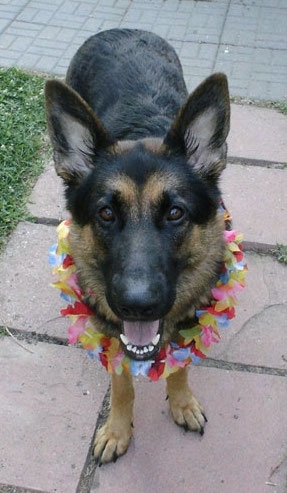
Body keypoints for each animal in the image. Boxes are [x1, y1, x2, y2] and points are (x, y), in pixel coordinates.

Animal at [45, 28, 231, 464]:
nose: (137, 305)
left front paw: (181, 402)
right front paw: (117, 429)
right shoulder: (111, 333)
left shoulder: (192, 317)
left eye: (176, 213)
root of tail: (120, 30)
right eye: (106, 213)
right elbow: (122, 385)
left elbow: (180, 366)